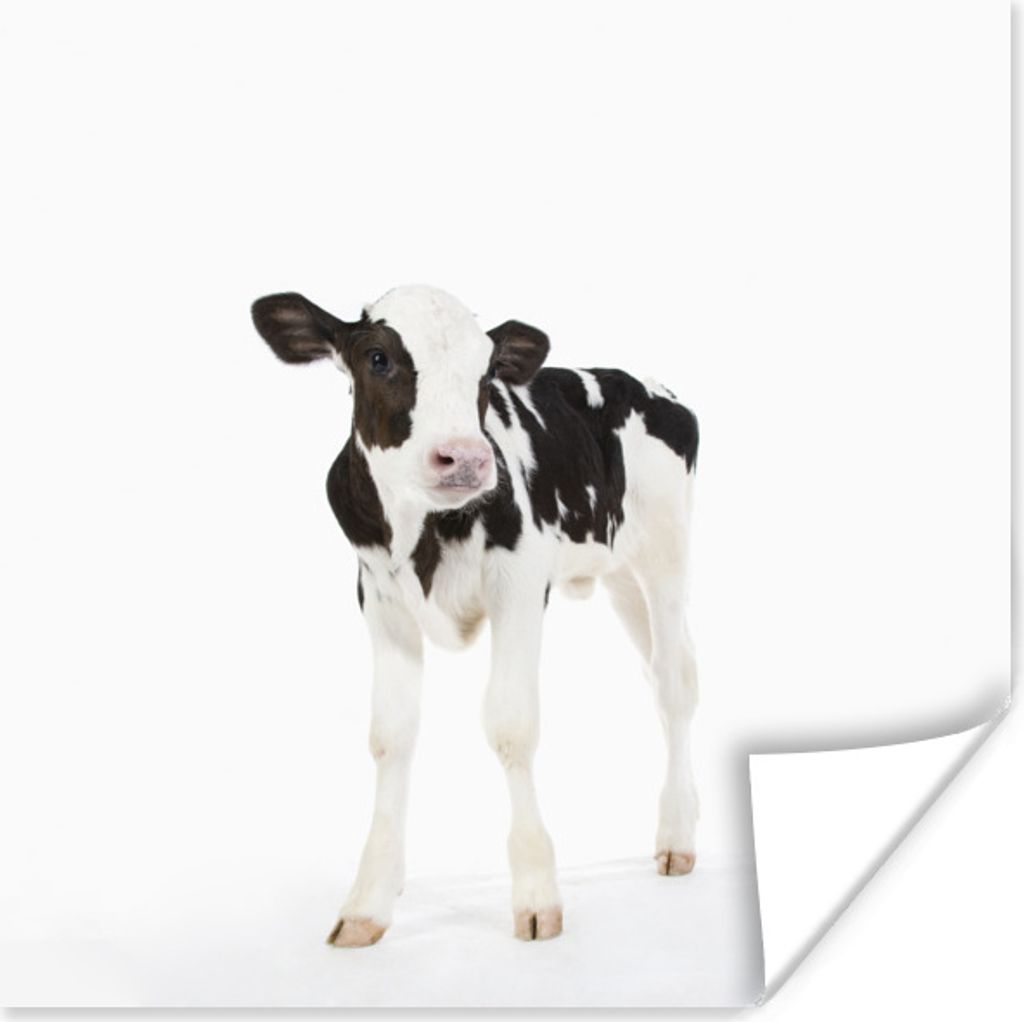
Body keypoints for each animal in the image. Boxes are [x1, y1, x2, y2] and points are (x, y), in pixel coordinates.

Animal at [251, 285, 699, 947]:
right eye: (378, 358)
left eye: (486, 372)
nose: (464, 458)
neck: (420, 530)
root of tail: (642, 382)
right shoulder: (378, 597)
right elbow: (391, 735)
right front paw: (372, 896)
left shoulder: (520, 583)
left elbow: (511, 726)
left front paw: (537, 893)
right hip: (619, 573)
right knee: (655, 674)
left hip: (665, 552)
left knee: (675, 684)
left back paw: (678, 837)